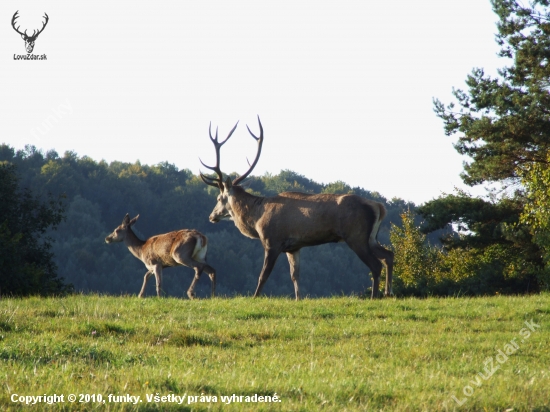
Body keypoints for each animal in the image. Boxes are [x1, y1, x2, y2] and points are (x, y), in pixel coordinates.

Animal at [201, 116, 394, 300]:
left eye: (219, 198)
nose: (211, 216)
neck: (256, 219)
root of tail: (379, 207)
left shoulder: (272, 241)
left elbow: (263, 275)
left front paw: (254, 297)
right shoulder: (293, 247)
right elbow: (295, 275)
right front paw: (298, 298)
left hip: (356, 235)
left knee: (376, 264)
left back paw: (374, 296)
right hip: (371, 237)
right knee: (389, 255)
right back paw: (387, 292)